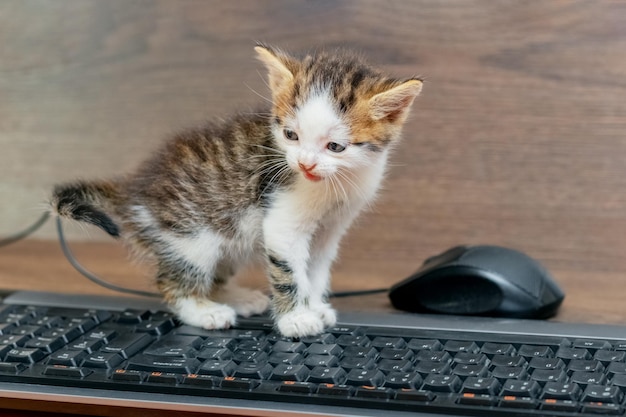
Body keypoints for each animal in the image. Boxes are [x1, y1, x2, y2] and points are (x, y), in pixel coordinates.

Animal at [51, 44, 422, 338]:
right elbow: (289, 271)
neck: (334, 184)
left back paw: (237, 298)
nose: (305, 164)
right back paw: (205, 311)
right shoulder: (282, 220)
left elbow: (315, 270)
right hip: (191, 238)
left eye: (335, 147)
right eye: (290, 135)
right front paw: (296, 319)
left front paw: (315, 306)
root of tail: (134, 188)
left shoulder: (332, 227)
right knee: (173, 282)